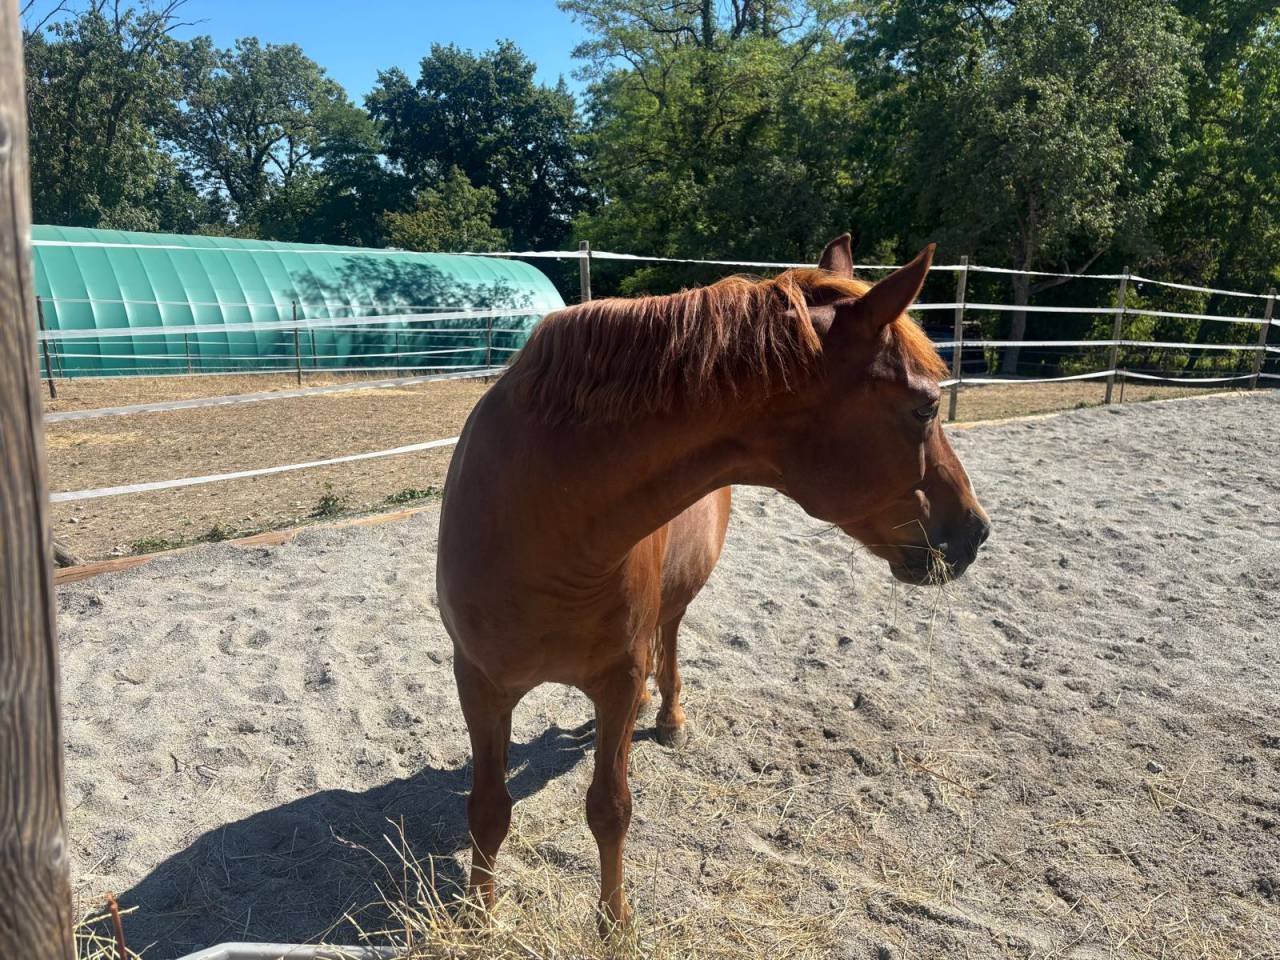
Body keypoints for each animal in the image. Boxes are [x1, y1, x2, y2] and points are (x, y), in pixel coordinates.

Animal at [435, 233, 991, 931]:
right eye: (924, 406)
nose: (975, 531)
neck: (545, 520)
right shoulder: (480, 683)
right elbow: (488, 808)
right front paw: (478, 914)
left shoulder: (616, 679)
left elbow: (609, 808)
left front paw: (616, 923)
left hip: (676, 599)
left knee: (669, 636)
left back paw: (668, 712)